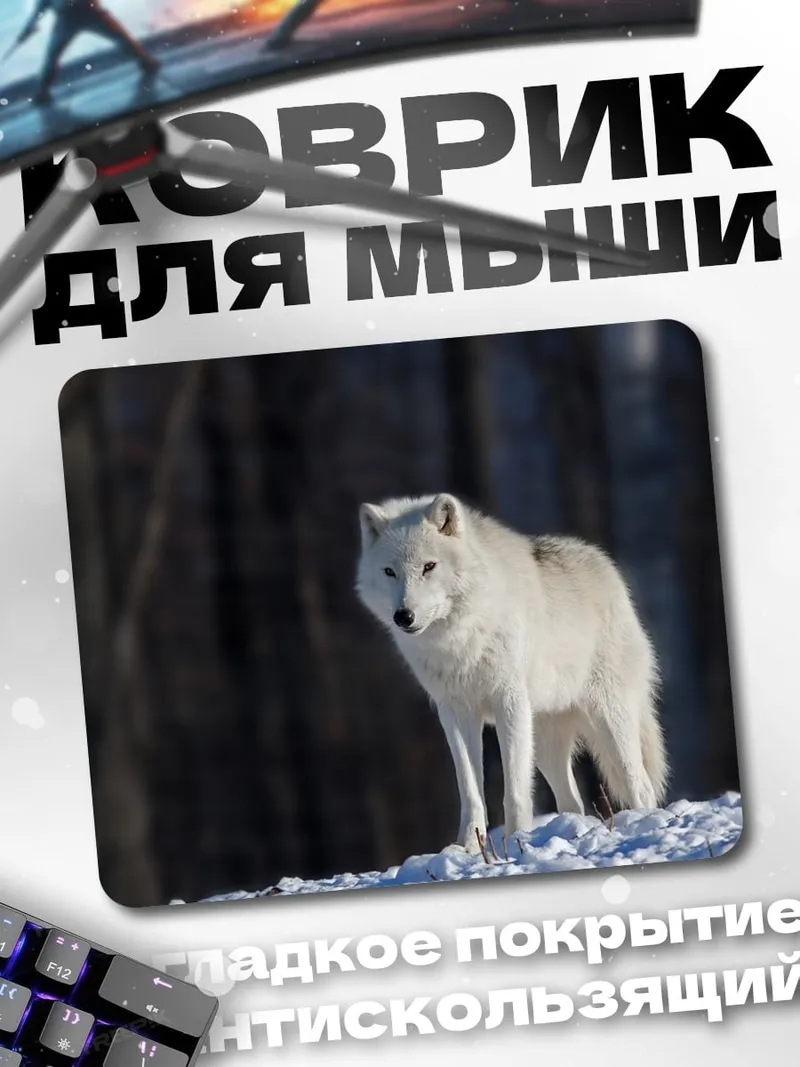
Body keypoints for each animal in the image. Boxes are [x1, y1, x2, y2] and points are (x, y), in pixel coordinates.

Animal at [355, 493, 668, 853]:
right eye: (389, 572)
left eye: (429, 567)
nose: (403, 616)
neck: (459, 638)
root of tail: (603, 564)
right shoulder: (455, 712)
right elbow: (470, 790)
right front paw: (469, 847)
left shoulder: (509, 702)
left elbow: (515, 791)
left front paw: (517, 842)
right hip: (544, 741)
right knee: (572, 801)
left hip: (607, 719)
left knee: (640, 785)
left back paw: (642, 824)